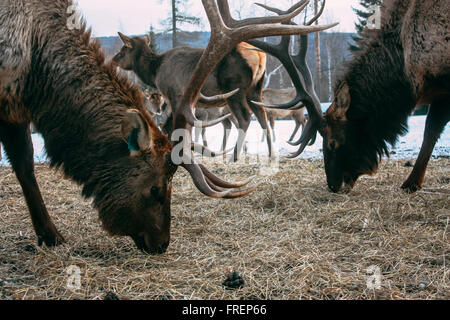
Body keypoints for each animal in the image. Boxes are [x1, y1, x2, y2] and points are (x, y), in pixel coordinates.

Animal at [0, 0, 330, 255]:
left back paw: (245, 154)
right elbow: (24, 165)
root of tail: (260, 54)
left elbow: (24, 164)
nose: (162, 244)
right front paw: (48, 234)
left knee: (250, 118)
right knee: (257, 117)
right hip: (250, 90)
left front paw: (50, 235)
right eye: (155, 188)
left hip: (239, 91)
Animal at [256, 0, 450, 192]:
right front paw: (413, 182)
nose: (332, 185)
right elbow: (432, 131)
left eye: (332, 142)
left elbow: (430, 131)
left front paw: (411, 183)